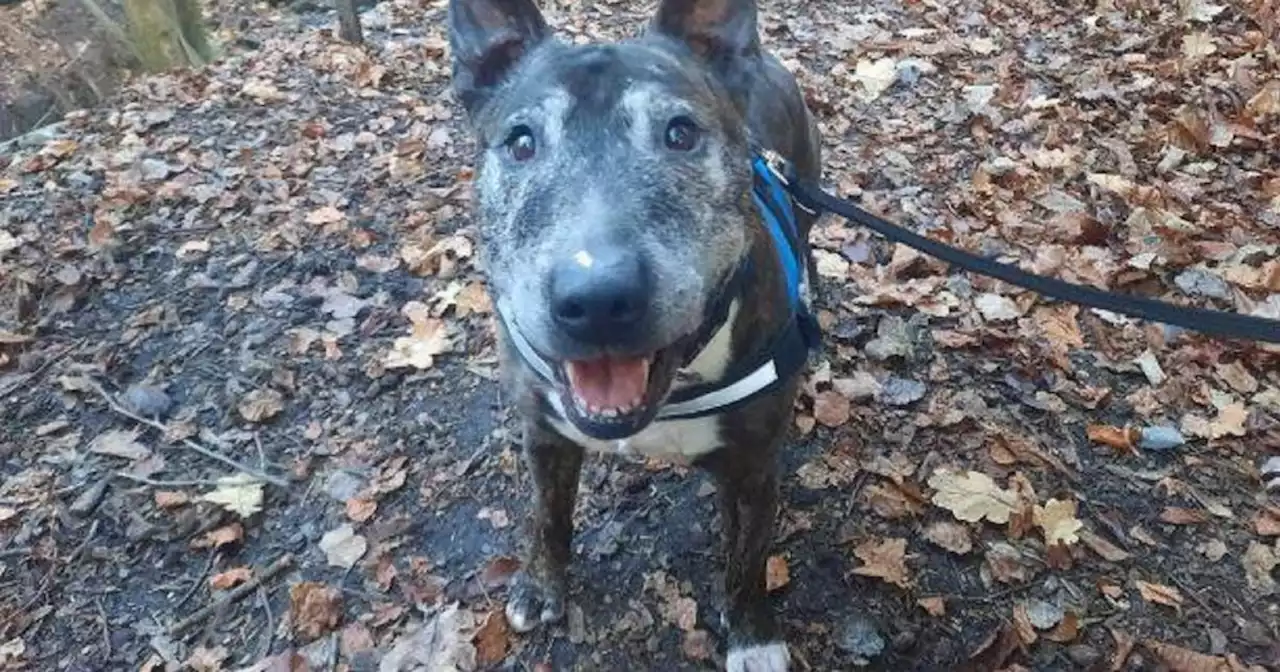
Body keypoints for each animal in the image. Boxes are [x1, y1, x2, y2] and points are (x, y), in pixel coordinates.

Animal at [445, 1, 819, 665]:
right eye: (521, 142)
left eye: (680, 133)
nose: (596, 300)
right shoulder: (544, 435)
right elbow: (547, 516)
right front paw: (541, 586)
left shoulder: (755, 469)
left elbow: (747, 560)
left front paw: (753, 637)